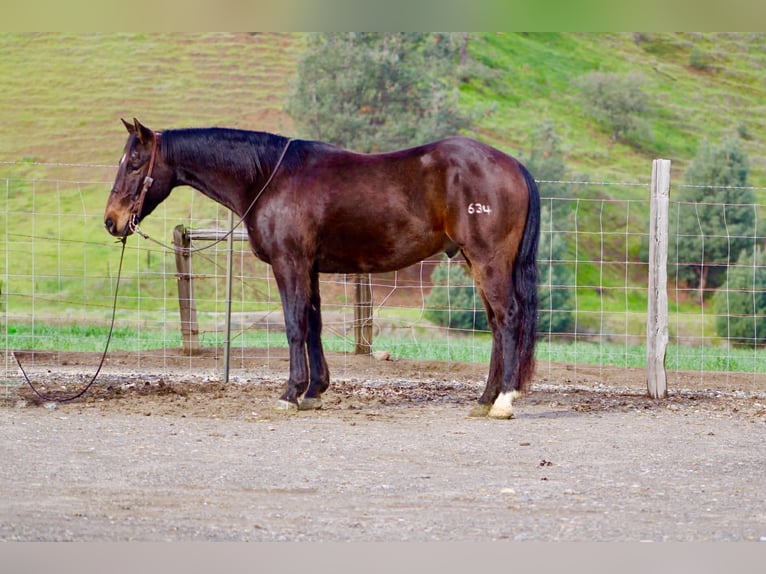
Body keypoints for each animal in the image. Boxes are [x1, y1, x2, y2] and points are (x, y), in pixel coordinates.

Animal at [104, 118, 540, 419]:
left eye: (135, 163)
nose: (111, 221)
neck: (269, 177)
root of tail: (513, 165)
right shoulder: (309, 268)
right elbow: (312, 325)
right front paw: (314, 391)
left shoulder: (290, 264)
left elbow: (294, 326)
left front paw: (290, 393)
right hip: (474, 261)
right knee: (496, 323)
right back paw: (484, 399)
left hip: (487, 260)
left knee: (508, 317)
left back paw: (503, 400)